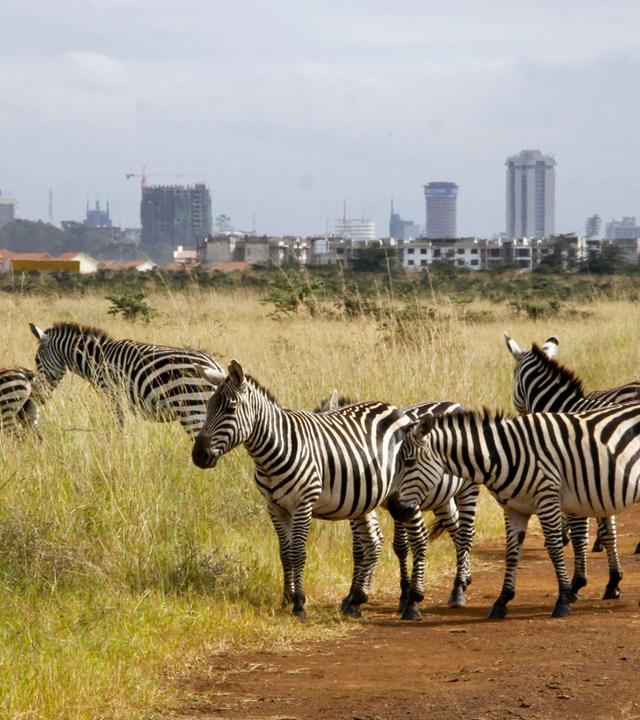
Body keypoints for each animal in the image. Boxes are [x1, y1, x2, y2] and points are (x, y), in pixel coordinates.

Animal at [29, 322, 224, 437]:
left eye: (36, 360)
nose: (38, 397)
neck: (97, 358)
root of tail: (215, 366)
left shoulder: (111, 393)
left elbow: (119, 423)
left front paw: (119, 445)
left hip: (192, 408)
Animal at [191, 359, 429, 621]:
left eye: (230, 409)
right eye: (209, 407)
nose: (199, 455)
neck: (272, 452)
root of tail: (394, 408)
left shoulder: (302, 504)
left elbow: (297, 553)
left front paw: (299, 605)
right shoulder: (274, 507)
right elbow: (284, 553)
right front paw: (286, 599)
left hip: (407, 491)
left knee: (418, 537)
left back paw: (412, 602)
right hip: (368, 498)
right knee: (373, 541)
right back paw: (356, 600)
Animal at [316, 392, 478, 611]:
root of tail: (456, 403)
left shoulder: (407, 501)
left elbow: (402, 544)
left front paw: (407, 596)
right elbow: (363, 548)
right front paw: (352, 597)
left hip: (468, 488)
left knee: (466, 534)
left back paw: (458, 589)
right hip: (442, 499)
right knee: (457, 530)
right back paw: (464, 578)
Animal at [387, 403, 640, 619]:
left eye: (408, 462)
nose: (393, 508)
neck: (505, 454)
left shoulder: (547, 498)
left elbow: (555, 549)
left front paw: (563, 600)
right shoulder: (513, 509)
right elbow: (511, 552)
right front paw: (502, 601)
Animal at [505, 332, 640, 599]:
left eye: (513, 375)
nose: (520, 415)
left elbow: (581, 535)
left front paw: (577, 583)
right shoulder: (599, 482)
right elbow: (609, 532)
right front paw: (613, 581)